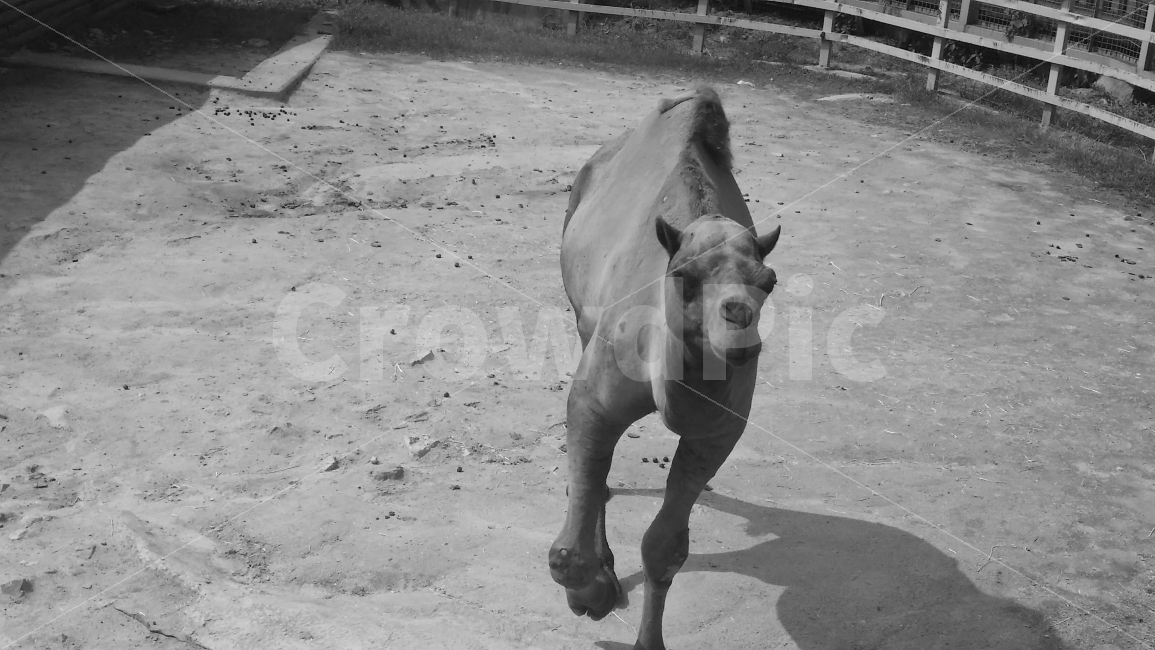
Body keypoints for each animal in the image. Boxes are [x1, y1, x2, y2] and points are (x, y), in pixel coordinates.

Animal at [550, 87, 782, 650]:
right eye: (683, 275)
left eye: (768, 282)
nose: (738, 325)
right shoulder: (596, 395)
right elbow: (566, 552)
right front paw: (592, 595)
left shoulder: (718, 430)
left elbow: (666, 547)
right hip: (582, 313)